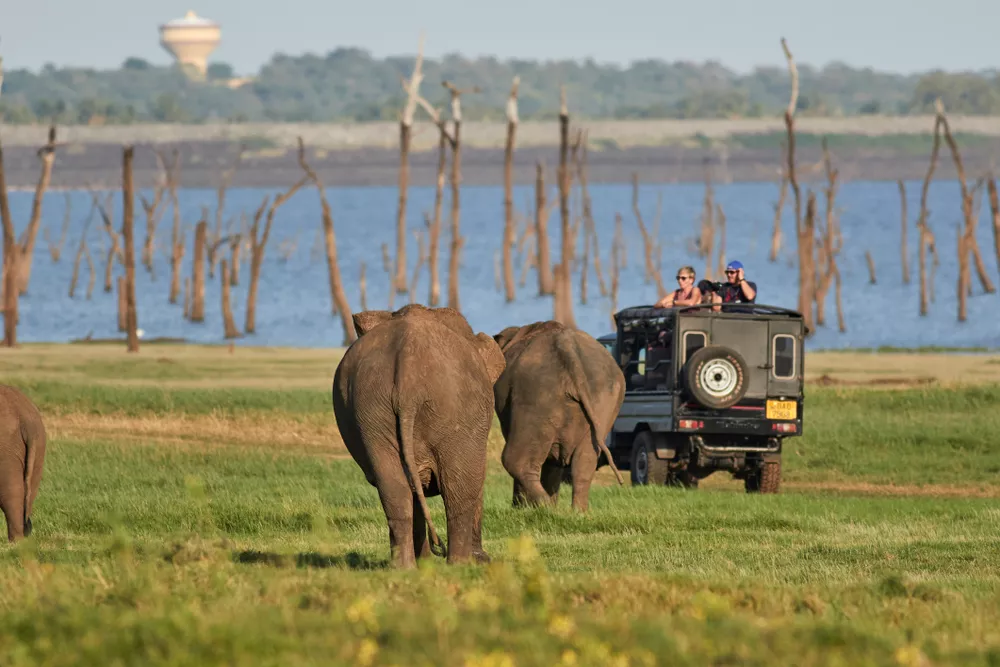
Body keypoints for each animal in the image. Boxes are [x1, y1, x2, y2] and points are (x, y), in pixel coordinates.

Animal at [332, 304, 507, 568]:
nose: (436, 549)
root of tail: (408, 378)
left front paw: (425, 562)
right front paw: (480, 560)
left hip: (371, 410)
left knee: (395, 488)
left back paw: (404, 568)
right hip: (457, 411)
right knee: (460, 488)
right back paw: (460, 564)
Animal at [493, 321, 625, 512]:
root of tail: (568, 350)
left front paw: (520, 510)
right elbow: (554, 462)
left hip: (534, 395)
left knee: (516, 461)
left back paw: (546, 508)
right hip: (604, 403)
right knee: (584, 462)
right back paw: (576, 512)